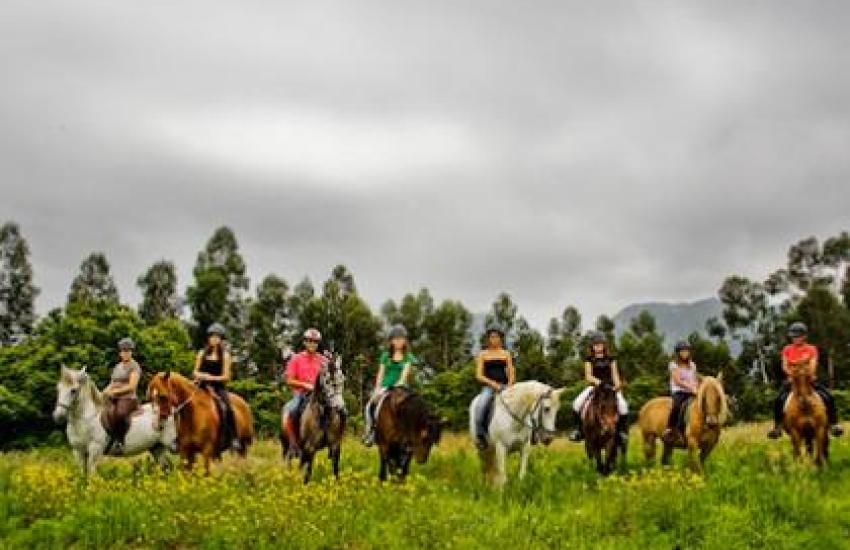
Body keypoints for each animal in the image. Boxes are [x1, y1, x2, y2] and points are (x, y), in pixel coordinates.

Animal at [279, 355, 347, 483]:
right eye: (327, 381)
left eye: (342, 379)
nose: (340, 407)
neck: (324, 416)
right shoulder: (310, 448)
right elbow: (307, 473)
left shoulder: (335, 446)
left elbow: (336, 470)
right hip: (288, 446)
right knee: (289, 461)